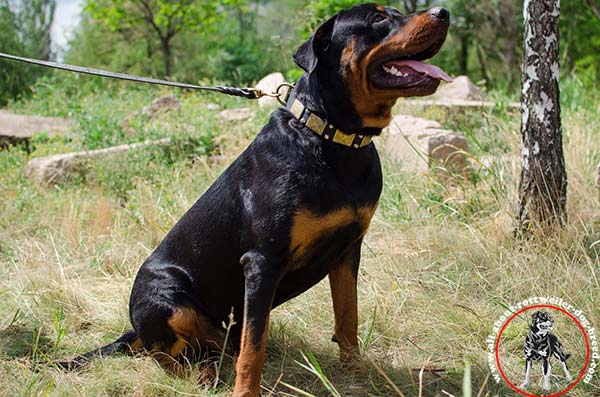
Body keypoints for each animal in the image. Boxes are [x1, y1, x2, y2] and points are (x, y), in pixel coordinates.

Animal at [58, 3, 450, 396]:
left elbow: (347, 316)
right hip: (167, 301)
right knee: (165, 356)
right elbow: (254, 347)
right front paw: (246, 391)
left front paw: (357, 371)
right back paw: (200, 376)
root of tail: (133, 328)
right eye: (378, 18)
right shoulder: (262, 261)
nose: (443, 12)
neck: (331, 139)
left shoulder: (348, 250)